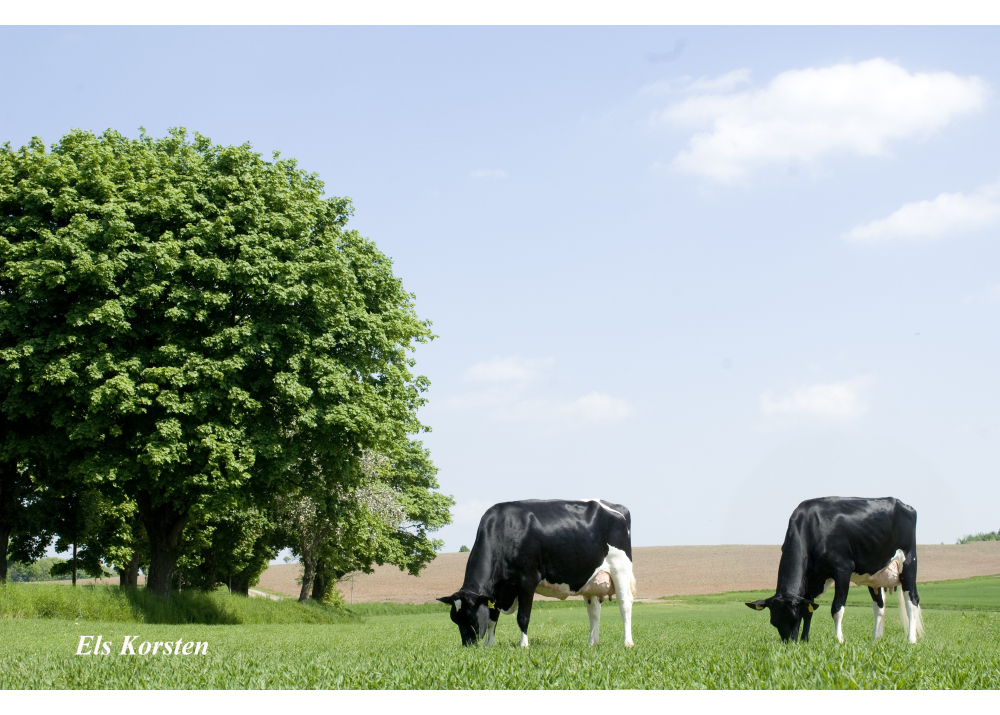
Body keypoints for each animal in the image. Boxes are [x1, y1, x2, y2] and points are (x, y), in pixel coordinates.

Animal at [440, 498, 640, 648]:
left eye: (472, 619)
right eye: (455, 620)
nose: (467, 645)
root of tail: (617, 507)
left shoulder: (527, 579)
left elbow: (523, 617)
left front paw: (523, 645)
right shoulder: (495, 591)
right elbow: (492, 619)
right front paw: (489, 645)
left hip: (620, 568)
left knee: (625, 604)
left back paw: (628, 642)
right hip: (591, 581)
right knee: (594, 611)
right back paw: (592, 643)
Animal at [748, 496, 924, 648]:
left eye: (794, 619)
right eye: (774, 622)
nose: (789, 643)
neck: (812, 527)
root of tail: (904, 505)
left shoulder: (843, 569)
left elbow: (836, 608)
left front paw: (838, 639)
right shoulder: (810, 579)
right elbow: (808, 611)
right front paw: (805, 639)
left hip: (908, 563)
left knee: (912, 601)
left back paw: (911, 639)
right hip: (874, 576)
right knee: (879, 606)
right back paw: (876, 639)